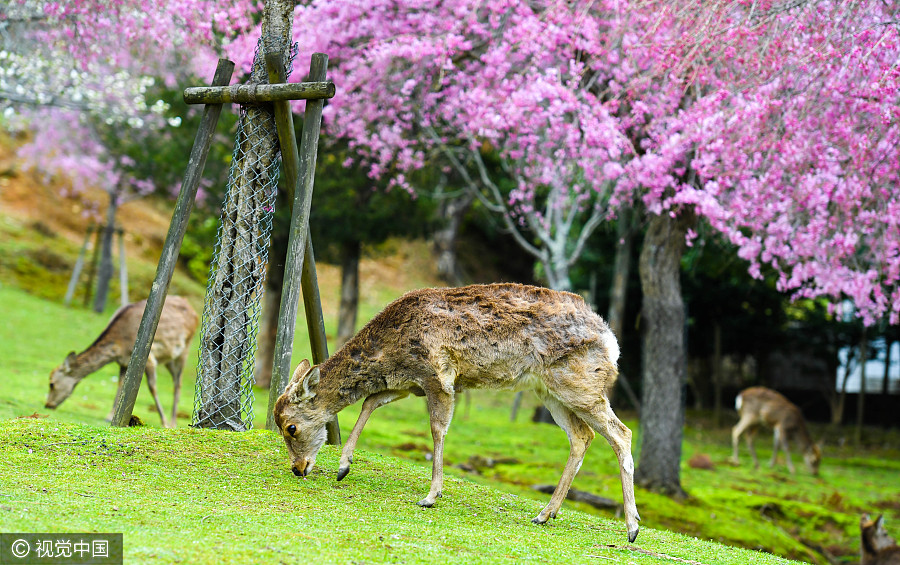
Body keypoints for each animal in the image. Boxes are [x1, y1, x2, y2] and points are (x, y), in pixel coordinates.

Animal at [46, 296, 199, 428]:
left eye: (52, 383)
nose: (47, 404)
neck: (119, 345)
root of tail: (193, 310)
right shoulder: (124, 362)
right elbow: (120, 385)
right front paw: (109, 415)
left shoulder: (149, 358)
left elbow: (152, 387)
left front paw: (164, 422)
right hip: (170, 358)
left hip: (185, 349)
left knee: (178, 384)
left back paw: (173, 422)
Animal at [274, 284, 640, 544]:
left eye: (290, 427)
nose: (297, 468)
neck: (390, 352)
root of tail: (611, 339)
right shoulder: (406, 383)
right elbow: (369, 403)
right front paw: (343, 466)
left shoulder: (438, 375)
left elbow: (437, 429)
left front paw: (431, 495)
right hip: (549, 391)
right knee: (582, 436)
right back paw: (544, 514)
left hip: (581, 384)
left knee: (622, 433)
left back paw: (632, 528)